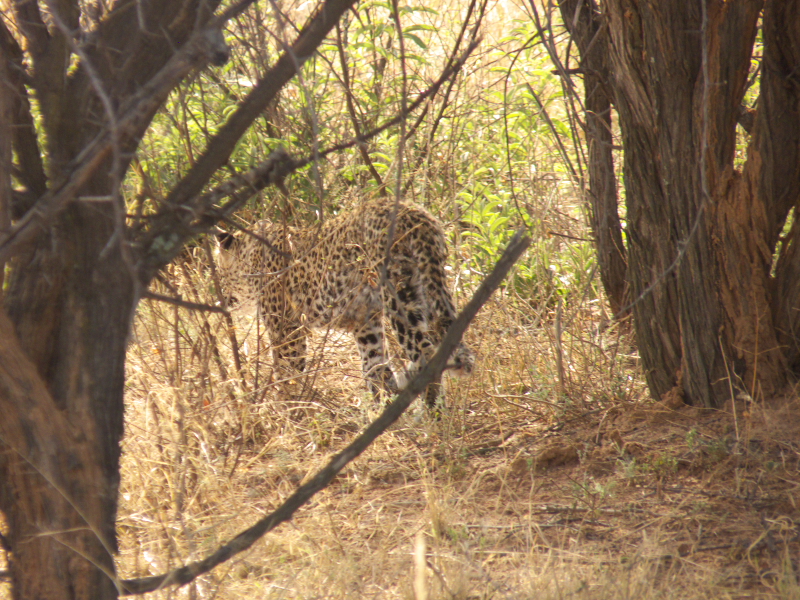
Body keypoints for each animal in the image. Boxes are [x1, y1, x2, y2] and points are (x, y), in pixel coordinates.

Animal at [214, 198, 475, 408]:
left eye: (217, 271)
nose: (219, 297)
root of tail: (413, 212)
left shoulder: (286, 329)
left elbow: (288, 373)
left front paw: (285, 411)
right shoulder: (365, 322)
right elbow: (375, 367)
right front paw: (381, 411)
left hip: (400, 298)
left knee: (425, 352)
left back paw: (432, 415)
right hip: (432, 289)